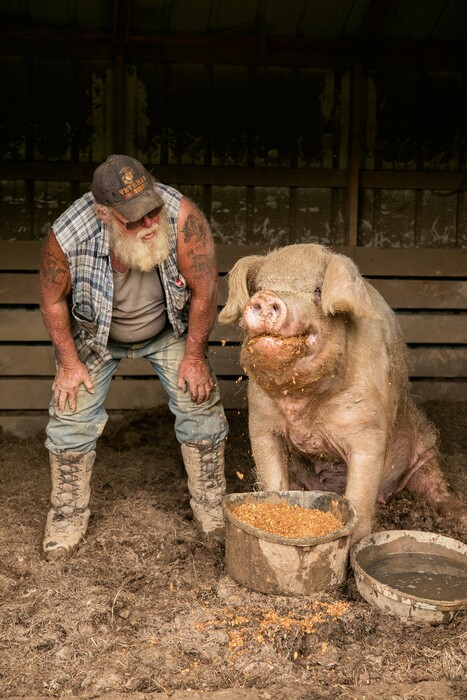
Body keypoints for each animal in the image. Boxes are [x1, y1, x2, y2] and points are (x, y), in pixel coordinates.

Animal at [219, 243, 467, 544]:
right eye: (259, 287)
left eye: (317, 290)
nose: (267, 298)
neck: (301, 402)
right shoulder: (262, 424)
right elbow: (273, 480)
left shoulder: (369, 432)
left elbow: (360, 496)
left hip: (426, 446)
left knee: (433, 485)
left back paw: (460, 514)